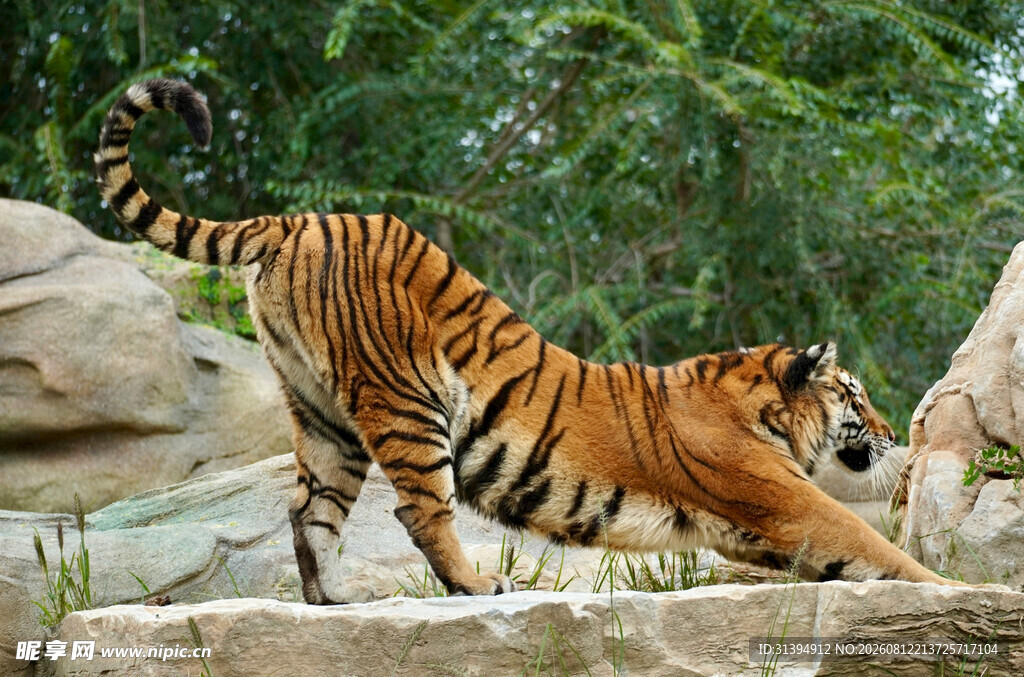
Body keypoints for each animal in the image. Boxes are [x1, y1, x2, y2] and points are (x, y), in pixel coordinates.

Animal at [95, 78, 968, 603]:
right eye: (854, 395)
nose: (890, 432)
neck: (758, 403)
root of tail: (297, 218)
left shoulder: (755, 530)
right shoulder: (788, 503)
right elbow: (878, 545)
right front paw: (962, 590)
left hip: (321, 412)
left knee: (309, 508)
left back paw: (335, 599)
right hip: (407, 399)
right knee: (420, 510)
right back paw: (476, 586)